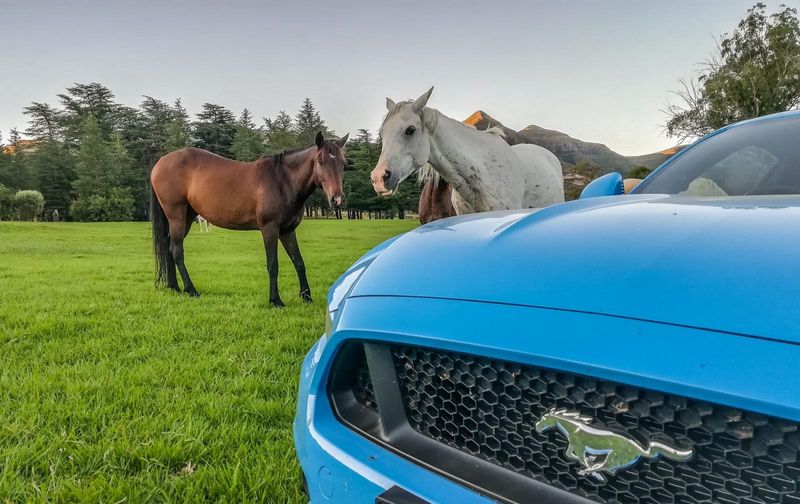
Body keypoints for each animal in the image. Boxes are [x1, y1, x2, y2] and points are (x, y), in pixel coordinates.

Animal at [152, 133, 348, 308]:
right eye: (321, 162)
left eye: (343, 164)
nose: (337, 199)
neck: (282, 180)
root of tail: (160, 163)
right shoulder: (270, 229)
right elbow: (273, 264)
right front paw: (275, 300)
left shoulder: (287, 231)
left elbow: (299, 262)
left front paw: (306, 297)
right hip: (176, 215)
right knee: (177, 251)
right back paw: (191, 289)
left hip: (186, 217)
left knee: (169, 247)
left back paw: (174, 287)